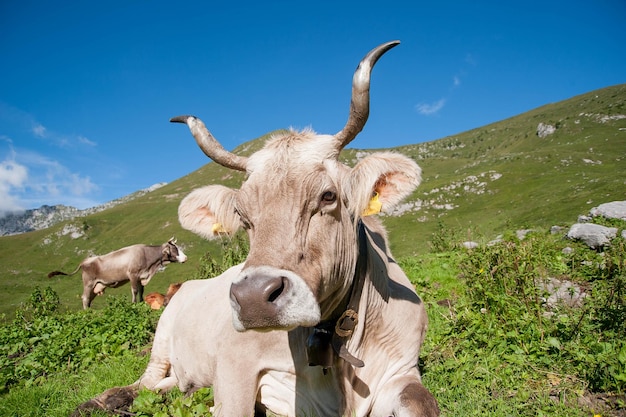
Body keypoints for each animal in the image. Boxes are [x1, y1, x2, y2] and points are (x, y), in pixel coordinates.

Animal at [48, 236, 185, 308]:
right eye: (175, 249)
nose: (186, 257)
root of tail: (85, 261)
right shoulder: (132, 275)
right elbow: (135, 291)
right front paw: (134, 304)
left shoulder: (141, 276)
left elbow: (141, 290)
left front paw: (141, 302)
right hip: (88, 283)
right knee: (85, 298)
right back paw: (86, 313)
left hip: (96, 286)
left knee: (89, 299)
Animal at [73, 39, 438, 416]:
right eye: (242, 214)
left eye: (328, 196)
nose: (252, 300)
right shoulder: (234, 365)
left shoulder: (401, 369)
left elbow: (422, 403)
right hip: (163, 335)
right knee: (144, 382)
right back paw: (100, 401)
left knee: (170, 385)